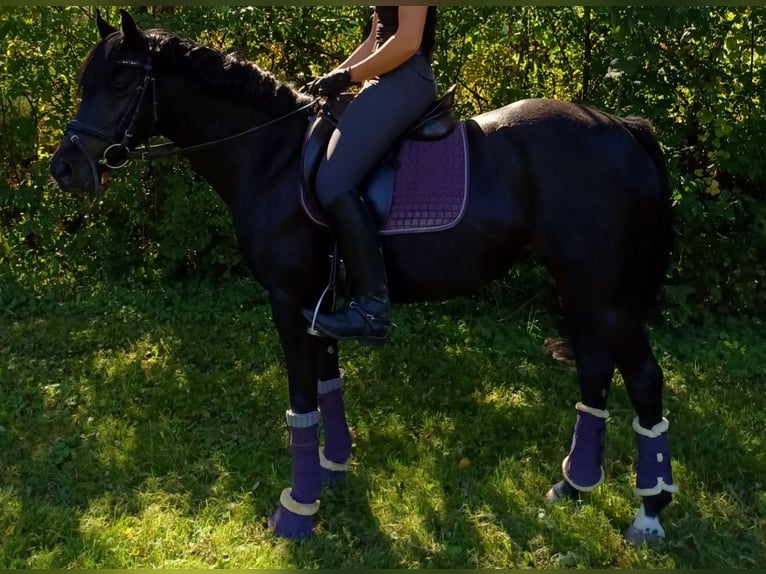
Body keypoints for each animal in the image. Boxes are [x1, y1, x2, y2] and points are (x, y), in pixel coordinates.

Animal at [52, 11, 680, 548]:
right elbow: (327, 384)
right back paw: (575, 485)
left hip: (605, 293)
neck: (272, 156)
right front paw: (332, 470)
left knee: (644, 378)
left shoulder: (289, 299)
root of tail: (621, 127)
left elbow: (300, 398)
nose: (64, 168)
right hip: (576, 284)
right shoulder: (321, 302)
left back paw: (649, 512)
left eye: (119, 83)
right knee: (595, 369)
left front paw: (297, 509)